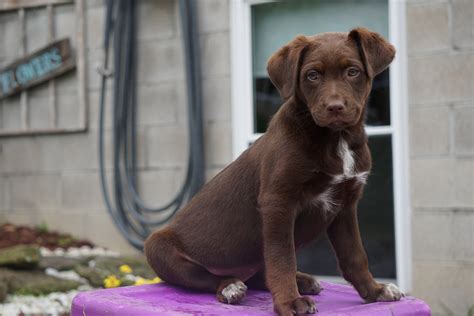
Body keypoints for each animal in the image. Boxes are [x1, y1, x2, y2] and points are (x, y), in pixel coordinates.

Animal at [145, 28, 404, 314]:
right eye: (312, 75)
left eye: (353, 71)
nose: (334, 107)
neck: (336, 139)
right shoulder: (278, 202)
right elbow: (282, 257)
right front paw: (289, 301)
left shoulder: (345, 204)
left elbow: (355, 255)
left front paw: (375, 291)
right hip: (158, 247)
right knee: (209, 277)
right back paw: (230, 286)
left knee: (260, 273)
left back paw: (302, 281)